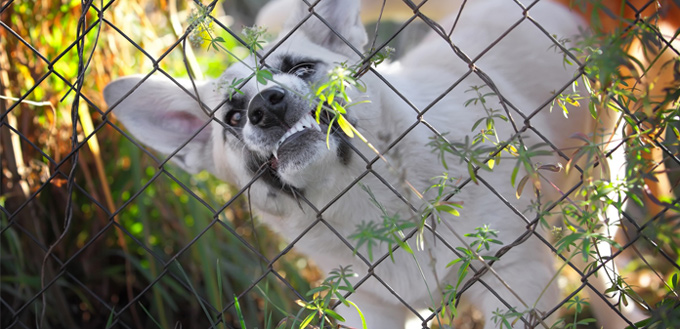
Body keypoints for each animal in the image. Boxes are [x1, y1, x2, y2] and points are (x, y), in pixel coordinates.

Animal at [103, 0, 640, 326]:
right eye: (233, 117)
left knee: (601, 276)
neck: (370, 202)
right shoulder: (370, 308)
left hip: (595, 204)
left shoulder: (516, 279)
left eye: (301, 69)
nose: (267, 106)